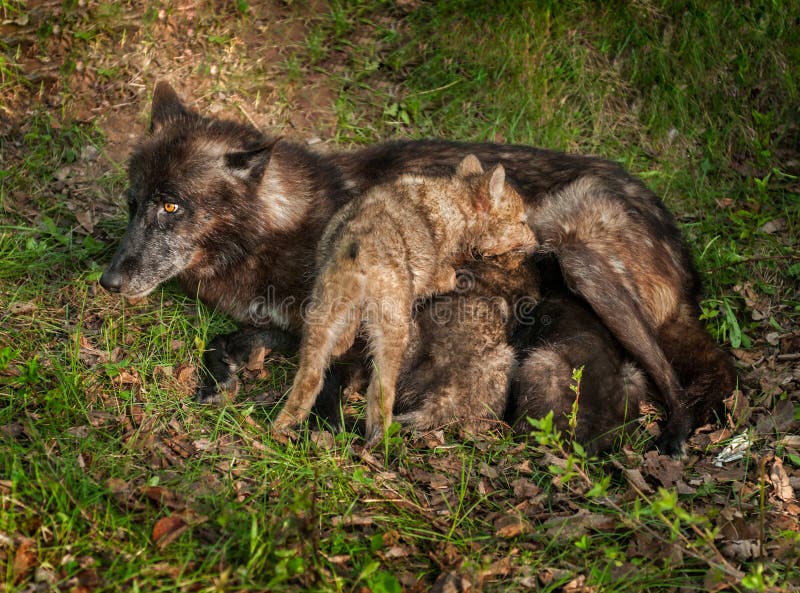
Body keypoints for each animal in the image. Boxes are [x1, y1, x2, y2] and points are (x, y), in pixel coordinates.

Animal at [272, 155, 537, 443]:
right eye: (522, 222)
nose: (537, 245)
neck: (457, 201)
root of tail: (358, 249)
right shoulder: (437, 272)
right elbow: (451, 274)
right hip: (394, 331)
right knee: (380, 392)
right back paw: (383, 439)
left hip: (320, 321)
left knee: (310, 378)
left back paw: (282, 426)